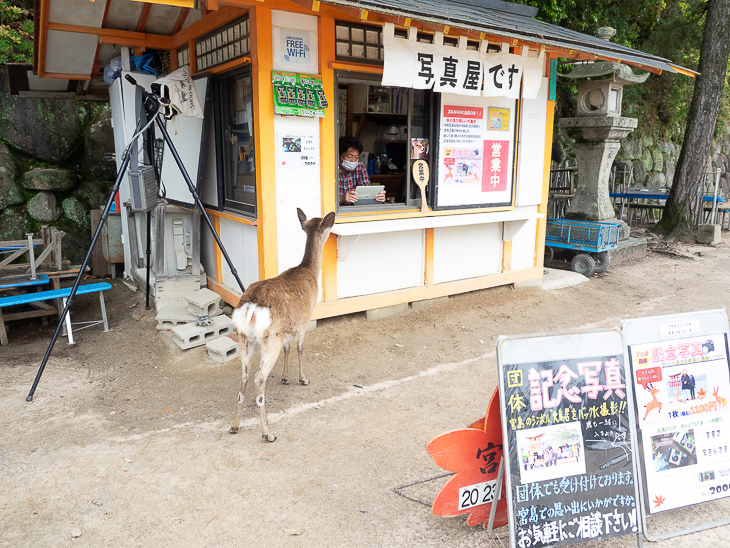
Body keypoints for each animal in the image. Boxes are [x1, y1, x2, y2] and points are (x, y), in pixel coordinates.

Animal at [229, 208, 334, 444]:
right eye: (326, 226)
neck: (311, 272)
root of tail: (250, 308)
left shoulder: (287, 329)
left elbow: (288, 349)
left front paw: (286, 378)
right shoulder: (304, 322)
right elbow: (299, 349)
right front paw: (303, 379)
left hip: (245, 339)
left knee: (244, 378)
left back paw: (234, 426)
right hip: (270, 338)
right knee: (259, 379)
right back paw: (268, 433)